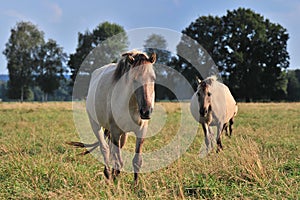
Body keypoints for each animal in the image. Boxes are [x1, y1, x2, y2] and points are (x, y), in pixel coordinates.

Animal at [68, 49, 157, 184]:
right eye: (134, 80)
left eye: (153, 78)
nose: (146, 112)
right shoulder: (115, 131)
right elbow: (118, 160)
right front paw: (116, 183)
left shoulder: (141, 131)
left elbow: (137, 161)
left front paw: (135, 186)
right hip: (96, 125)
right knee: (105, 149)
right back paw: (108, 175)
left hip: (123, 134)